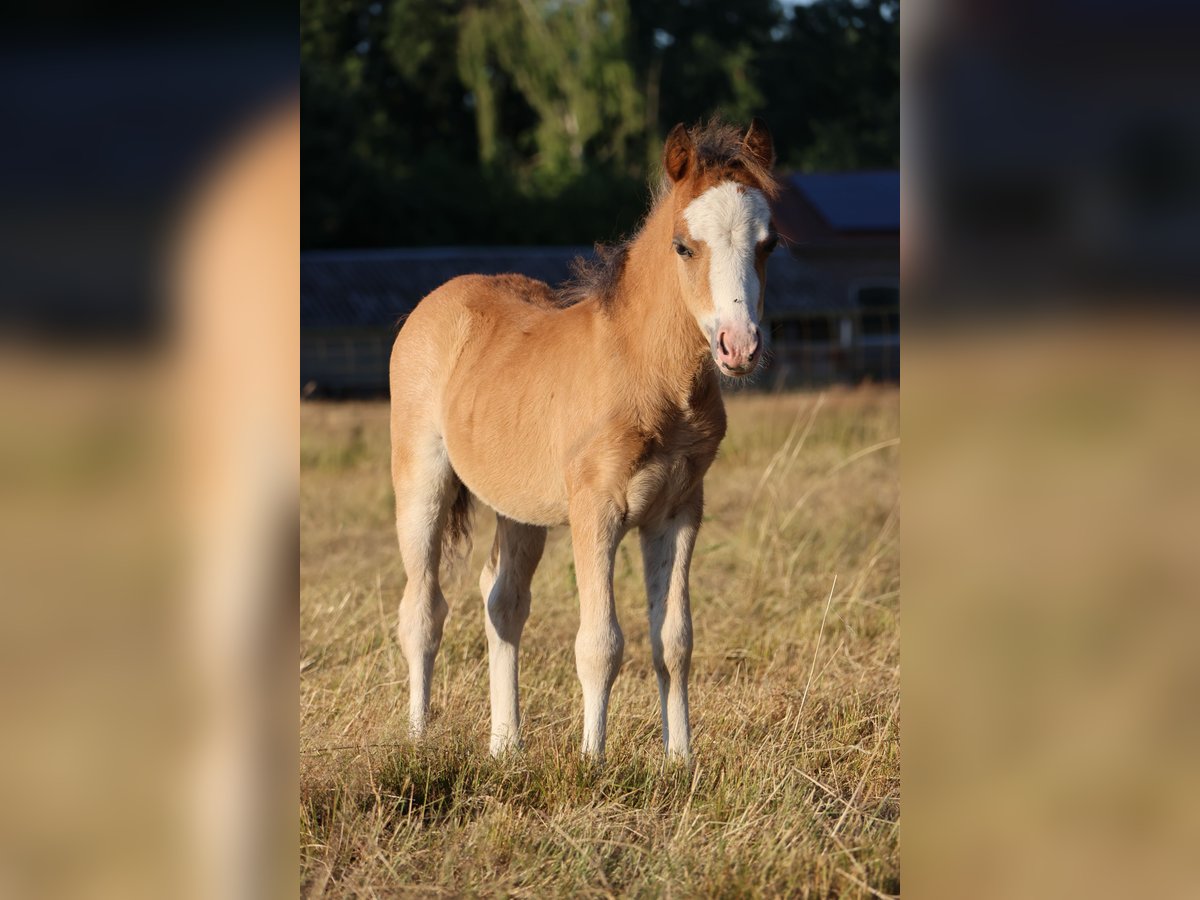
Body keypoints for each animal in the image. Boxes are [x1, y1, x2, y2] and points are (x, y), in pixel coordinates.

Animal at [389, 118, 779, 762]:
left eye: (768, 245)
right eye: (683, 245)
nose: (738, 345)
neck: (647, 370)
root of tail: (436, 300)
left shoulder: (678, 511)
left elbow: (674, 641)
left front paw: (681, 762)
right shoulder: (596, 508)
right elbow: (600, 643)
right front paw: (591, 761)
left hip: (518, 504)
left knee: (503, 601)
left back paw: (507, 747)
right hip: (422, 481)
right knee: (423, 610)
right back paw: (418, 740)